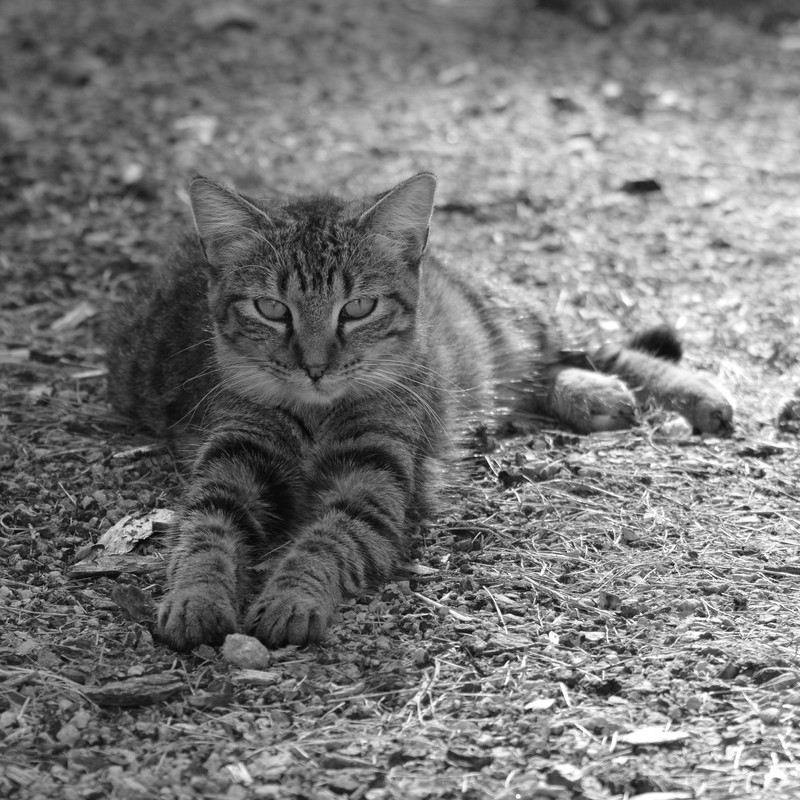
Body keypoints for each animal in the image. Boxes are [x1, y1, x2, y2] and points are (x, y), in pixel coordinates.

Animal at [104, 170, 732, 648]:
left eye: (358, 307)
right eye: (271, 308)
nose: (315, 366)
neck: (316, 415)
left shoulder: (375, 479)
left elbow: (325, 540)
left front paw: (291, 597)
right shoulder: (231, 457)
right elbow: (204, 532)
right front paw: (197, 597)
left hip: (514, 321)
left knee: (597, 349)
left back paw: (690, 396)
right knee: (550, 373)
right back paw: (592, 395)